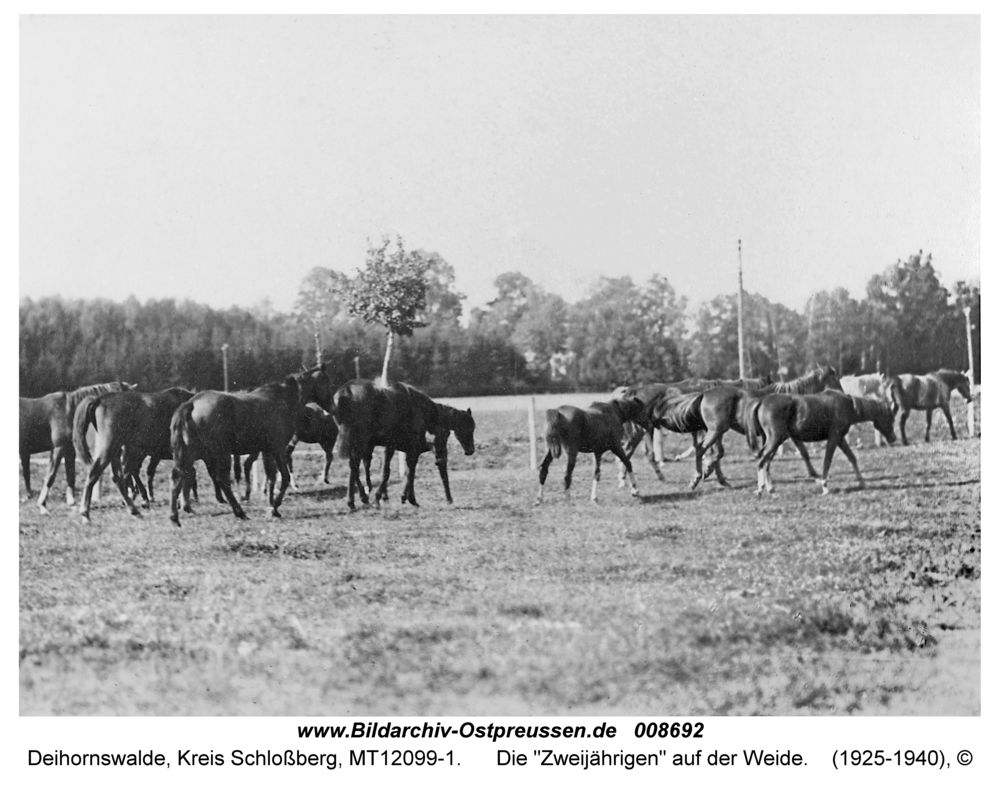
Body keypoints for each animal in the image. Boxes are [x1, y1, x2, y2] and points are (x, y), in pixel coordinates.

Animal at [20, 382, 135, 516]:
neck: (68, 410)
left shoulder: (69, 450)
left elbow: (71, 475)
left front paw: (72, 503)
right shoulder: (58, 448)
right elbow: (50, 476)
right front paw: (42, 505)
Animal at [72, 386, 195, 520]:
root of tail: (99, 400)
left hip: (116, 451)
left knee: (118, 477)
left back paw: (133, 509)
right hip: (110, 448)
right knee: (95, 473)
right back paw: (85, 512)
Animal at [168, 364, 332, 524]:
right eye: (327, 383)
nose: (332, 408)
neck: (283, 400)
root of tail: (191, 403)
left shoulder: (267, 450)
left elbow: (271, 477)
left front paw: (272, 506)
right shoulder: (278, 448)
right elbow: (284, 477)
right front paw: (273, 507)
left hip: (190, 454)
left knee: (179, 477)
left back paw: (174, 516)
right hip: (220, 453)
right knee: (222, 480)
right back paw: (239, 512)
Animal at [330, 378, 440, 508]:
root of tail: (347, 390)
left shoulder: (397, 446)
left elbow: (398, 470)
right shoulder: (407, 447)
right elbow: (401, 471)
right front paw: (407, 498)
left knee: (354, 466)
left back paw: (355, 499)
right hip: (360, 440)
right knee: (354, 465)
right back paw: (362, 497)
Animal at [744, 388, 900, 494]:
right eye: (891, 418)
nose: (893, 438)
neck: (848, 405)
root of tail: (762, 401)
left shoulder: (840, 439)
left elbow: (852, 457)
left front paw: (862, 482)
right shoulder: (834, 438)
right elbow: (827, 461)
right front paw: (825, 486)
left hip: (774, 441)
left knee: (766, 461)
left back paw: (769, 488)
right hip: (775, 439)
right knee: (762, 460)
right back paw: (761, 488)